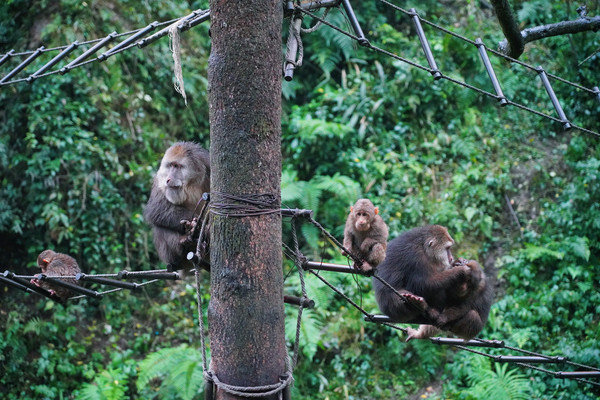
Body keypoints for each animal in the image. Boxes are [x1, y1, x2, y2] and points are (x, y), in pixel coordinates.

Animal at [144, 142, 210, 271]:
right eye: (170, 166)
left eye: (177, 166)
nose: (169, 179)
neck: (191, 185)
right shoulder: (159, 179)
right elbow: (156, 210)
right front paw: (194, 225)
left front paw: (199, 226)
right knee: (160, 223)